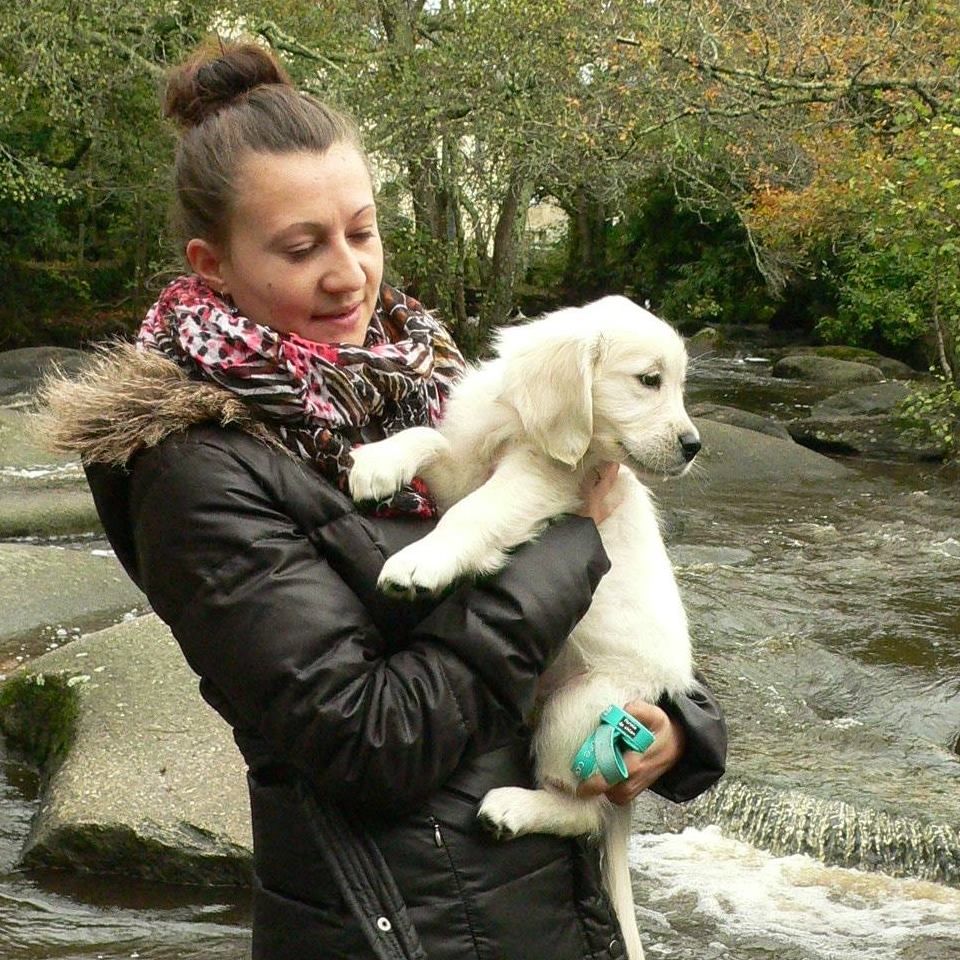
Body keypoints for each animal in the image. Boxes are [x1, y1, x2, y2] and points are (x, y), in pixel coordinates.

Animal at [348, 296, 700, 956]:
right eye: (649, 381)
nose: (694, 444)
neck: (524, 425)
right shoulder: (466, 464)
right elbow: (430, 438)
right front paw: (378, 463)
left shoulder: (541, 481)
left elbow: (474, 513)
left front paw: (420, 561)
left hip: (582, 709)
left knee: (585, 814)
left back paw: (512, 808)